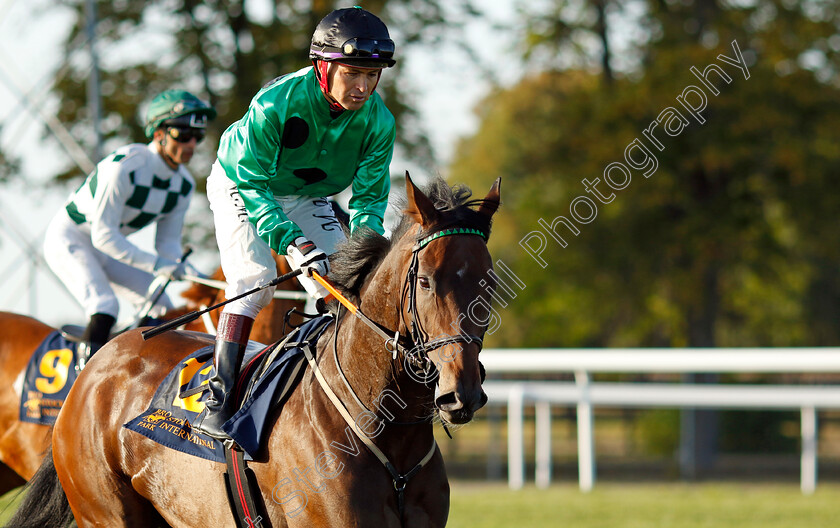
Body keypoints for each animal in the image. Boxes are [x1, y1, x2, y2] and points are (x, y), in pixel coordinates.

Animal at [8, 175, 498, 524]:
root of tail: (96, 364)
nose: (461, 392)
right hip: (105, 512)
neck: (384, 429)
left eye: (488, 281)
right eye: (425, 281)